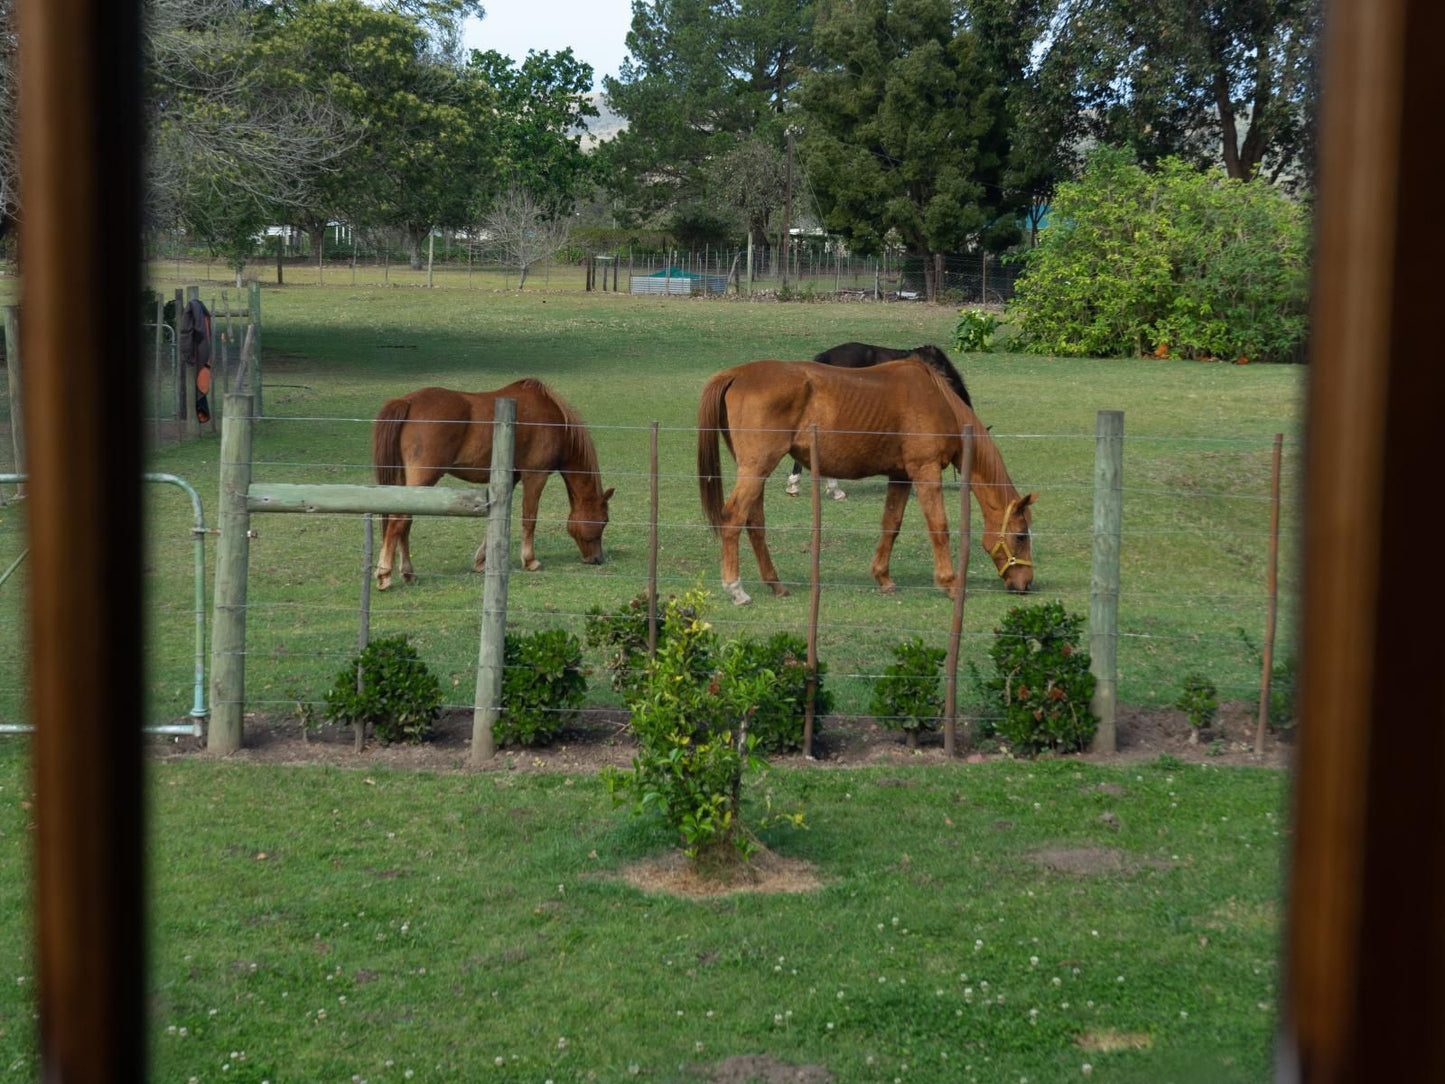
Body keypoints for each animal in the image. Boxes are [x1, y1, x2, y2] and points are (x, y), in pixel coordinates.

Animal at [369, 378, 612, 589]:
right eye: (604, 521)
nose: (596, 559)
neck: (552, 417)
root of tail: (407, 402)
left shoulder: (510, 479)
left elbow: (498, 518)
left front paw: (481, 561)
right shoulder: (536, 475)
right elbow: (529, 518)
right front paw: (530, 561)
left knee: (404, 523)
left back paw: (408, 573)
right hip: (424, 478)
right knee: (399, 520)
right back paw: (384, 574)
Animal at [696, 361, 1028, 607]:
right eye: (1021, 535)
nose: (1025, 584)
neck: (937, 400)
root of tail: (736, 374)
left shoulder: (901, 475)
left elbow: (891, 524)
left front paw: (883, 577)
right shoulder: (925, 470)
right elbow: (939, 527)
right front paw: (950, 584)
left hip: (756, 469)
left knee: (755, 522)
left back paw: (775, 584)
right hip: (757, 468)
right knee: (733, 518)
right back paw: (736, 590)